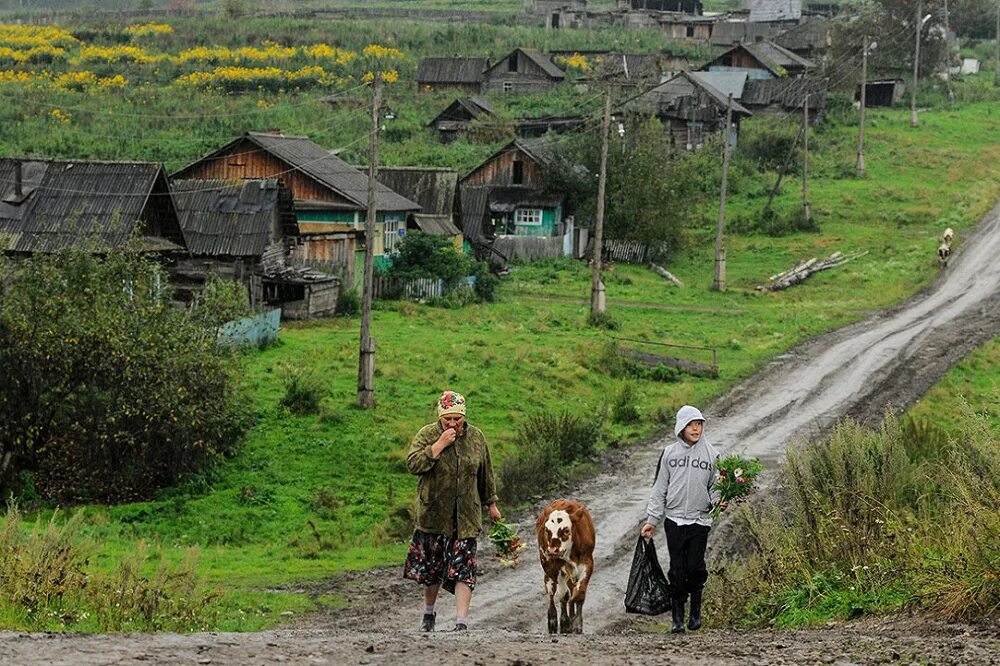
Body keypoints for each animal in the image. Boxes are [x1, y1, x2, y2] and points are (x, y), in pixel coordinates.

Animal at [540, 498, 592, 632]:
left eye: (566, 530)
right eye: (547, 530)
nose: (552, 550)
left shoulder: (587, 561)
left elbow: (579, 594)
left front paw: (577, 624)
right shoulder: (556, 567)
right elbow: (563, 596)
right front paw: (565, 623)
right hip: (548, 571)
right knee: (551, 594)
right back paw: (553, 621)